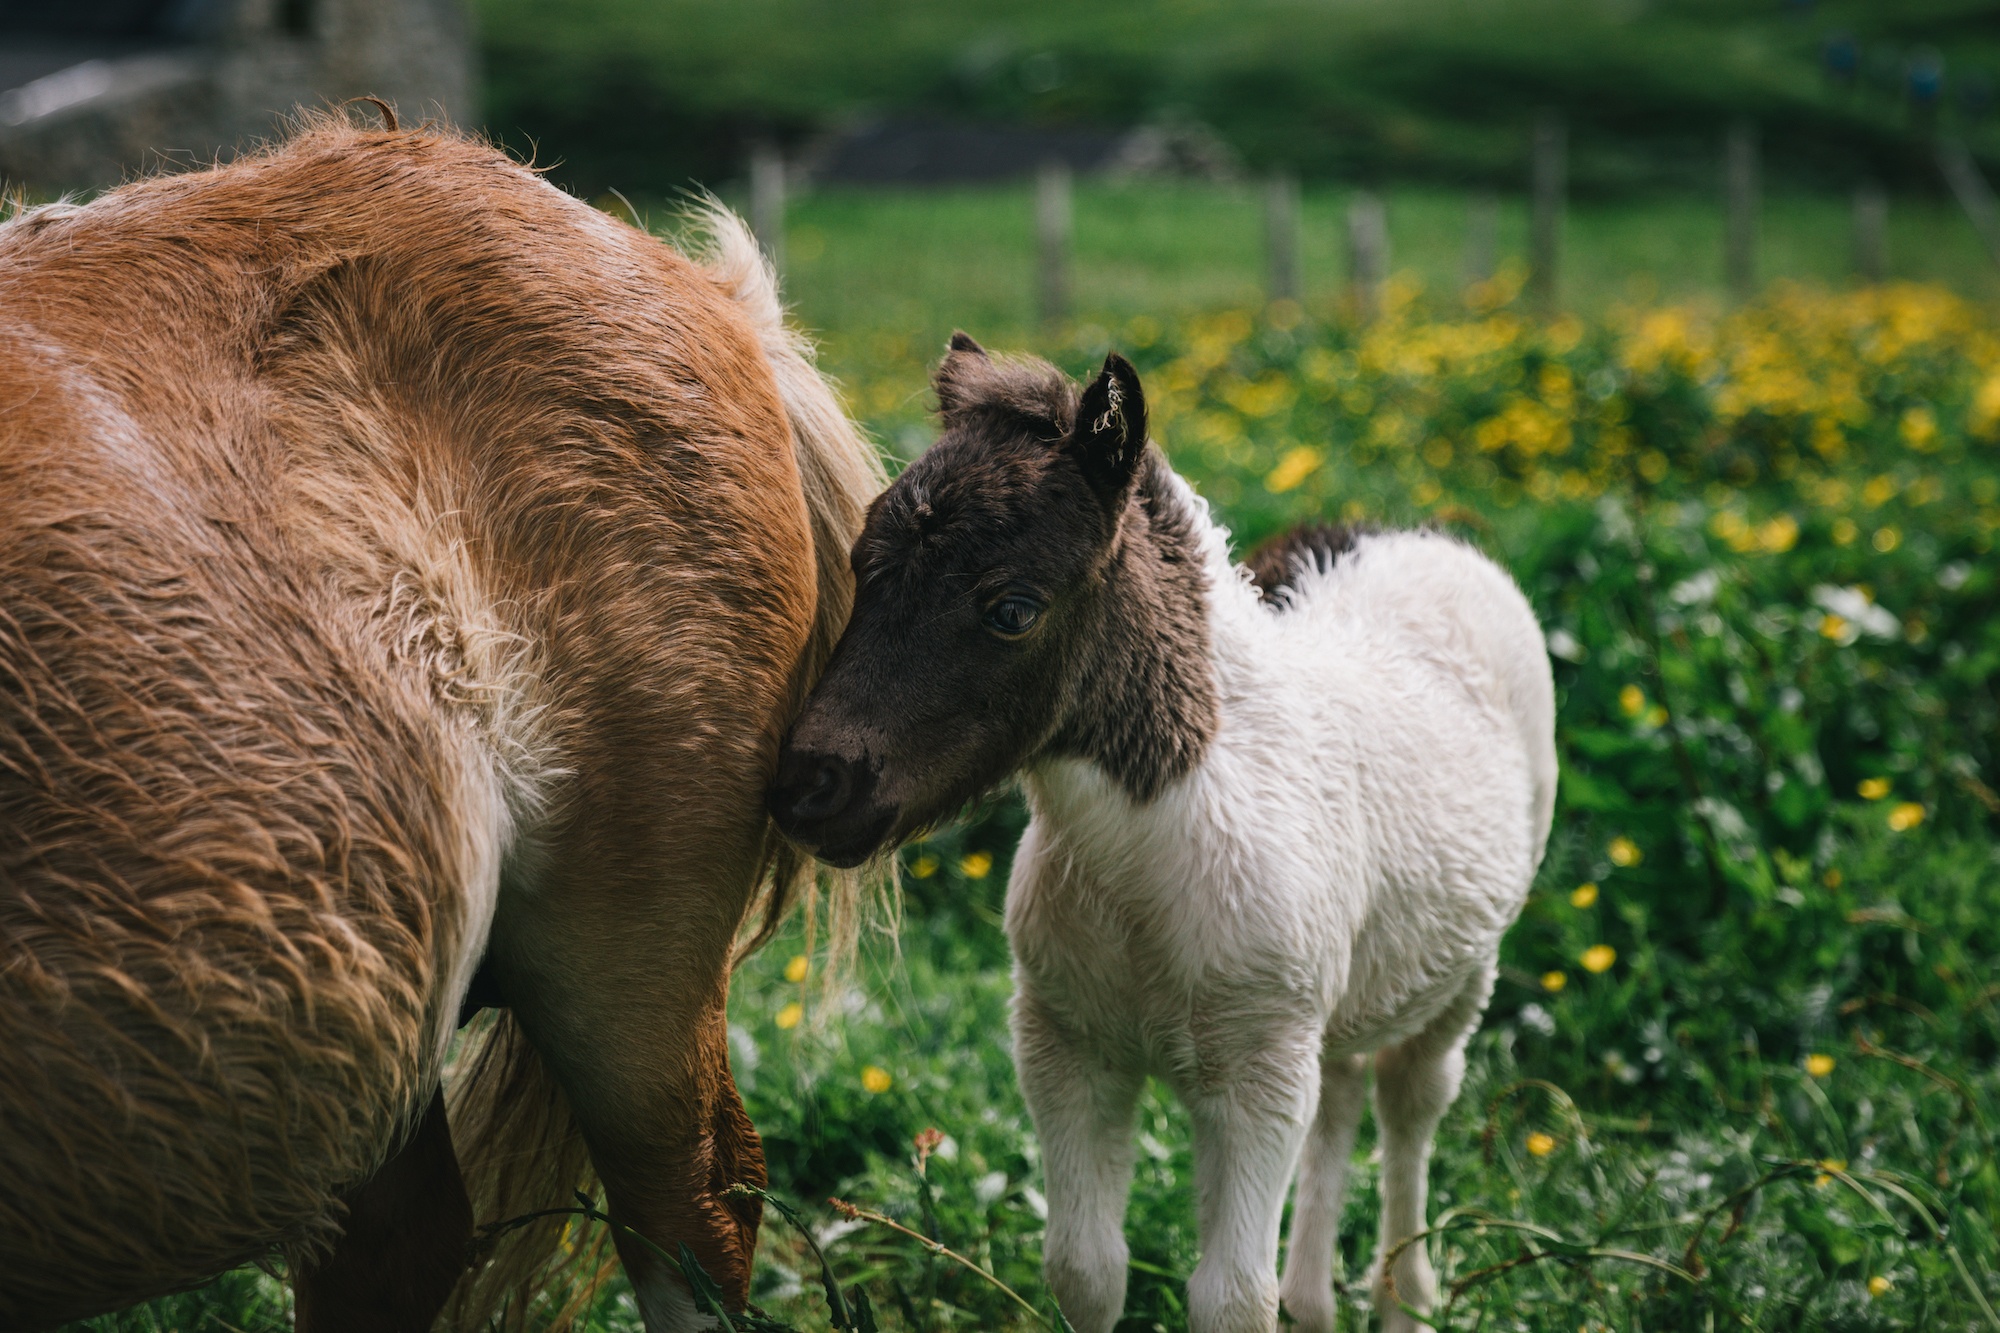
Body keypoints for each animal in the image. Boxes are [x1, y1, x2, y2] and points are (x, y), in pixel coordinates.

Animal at [772, 338, 1552, 1328]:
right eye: (862, 563)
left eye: (1011, 608)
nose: (810, 787)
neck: (1145, 866)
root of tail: (1412, 535)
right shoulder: (1067, 1048)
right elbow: (1086, 1269)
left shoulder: (1258, 1078)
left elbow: (1230, 1298)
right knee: (1342, 1096)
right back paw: (1315, 1299)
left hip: (1464, 976)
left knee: (1410, 1103)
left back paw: (1406, 1297)